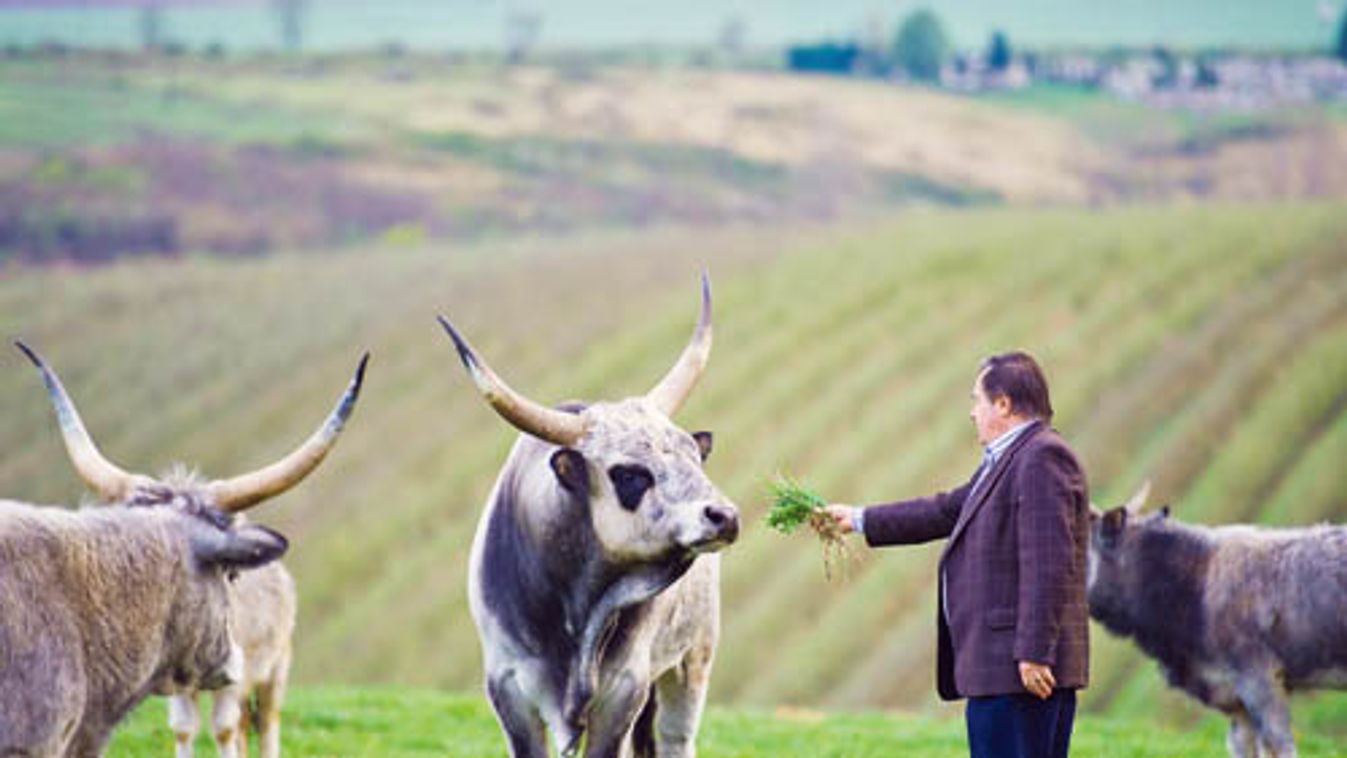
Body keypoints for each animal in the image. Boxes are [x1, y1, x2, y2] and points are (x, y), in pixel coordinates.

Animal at [0, 344, 363, 758]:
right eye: (229, 573)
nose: (232, 659)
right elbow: (187, 728)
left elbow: (223, 727)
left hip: (276, 668)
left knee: (266, 721)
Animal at [439, 276, 738, 758]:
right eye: (629, 474)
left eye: (695, 456)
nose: (724, 516)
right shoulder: (508, 689)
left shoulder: (623, 692)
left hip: (691, 663)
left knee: (676, 738)